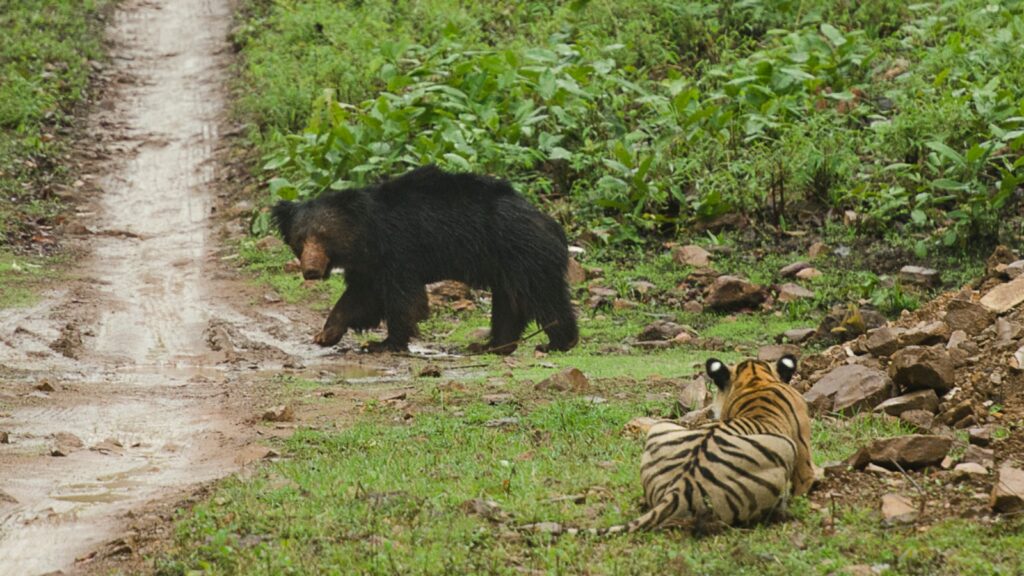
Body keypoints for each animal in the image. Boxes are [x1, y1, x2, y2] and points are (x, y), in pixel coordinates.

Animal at [270, 163, 577, 354]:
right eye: (300, 240)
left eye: (323, 236)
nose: (311, 270)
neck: (366, 236)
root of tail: (550, 223)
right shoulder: (370, 265)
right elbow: (361, 297)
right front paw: (326, 334)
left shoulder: (399, 249)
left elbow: (403, 299)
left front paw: (384, 343)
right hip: (507, 267)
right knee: (509, 304)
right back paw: (493, 345)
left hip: (523, 253)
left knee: (544, 297)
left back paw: (558, 342)